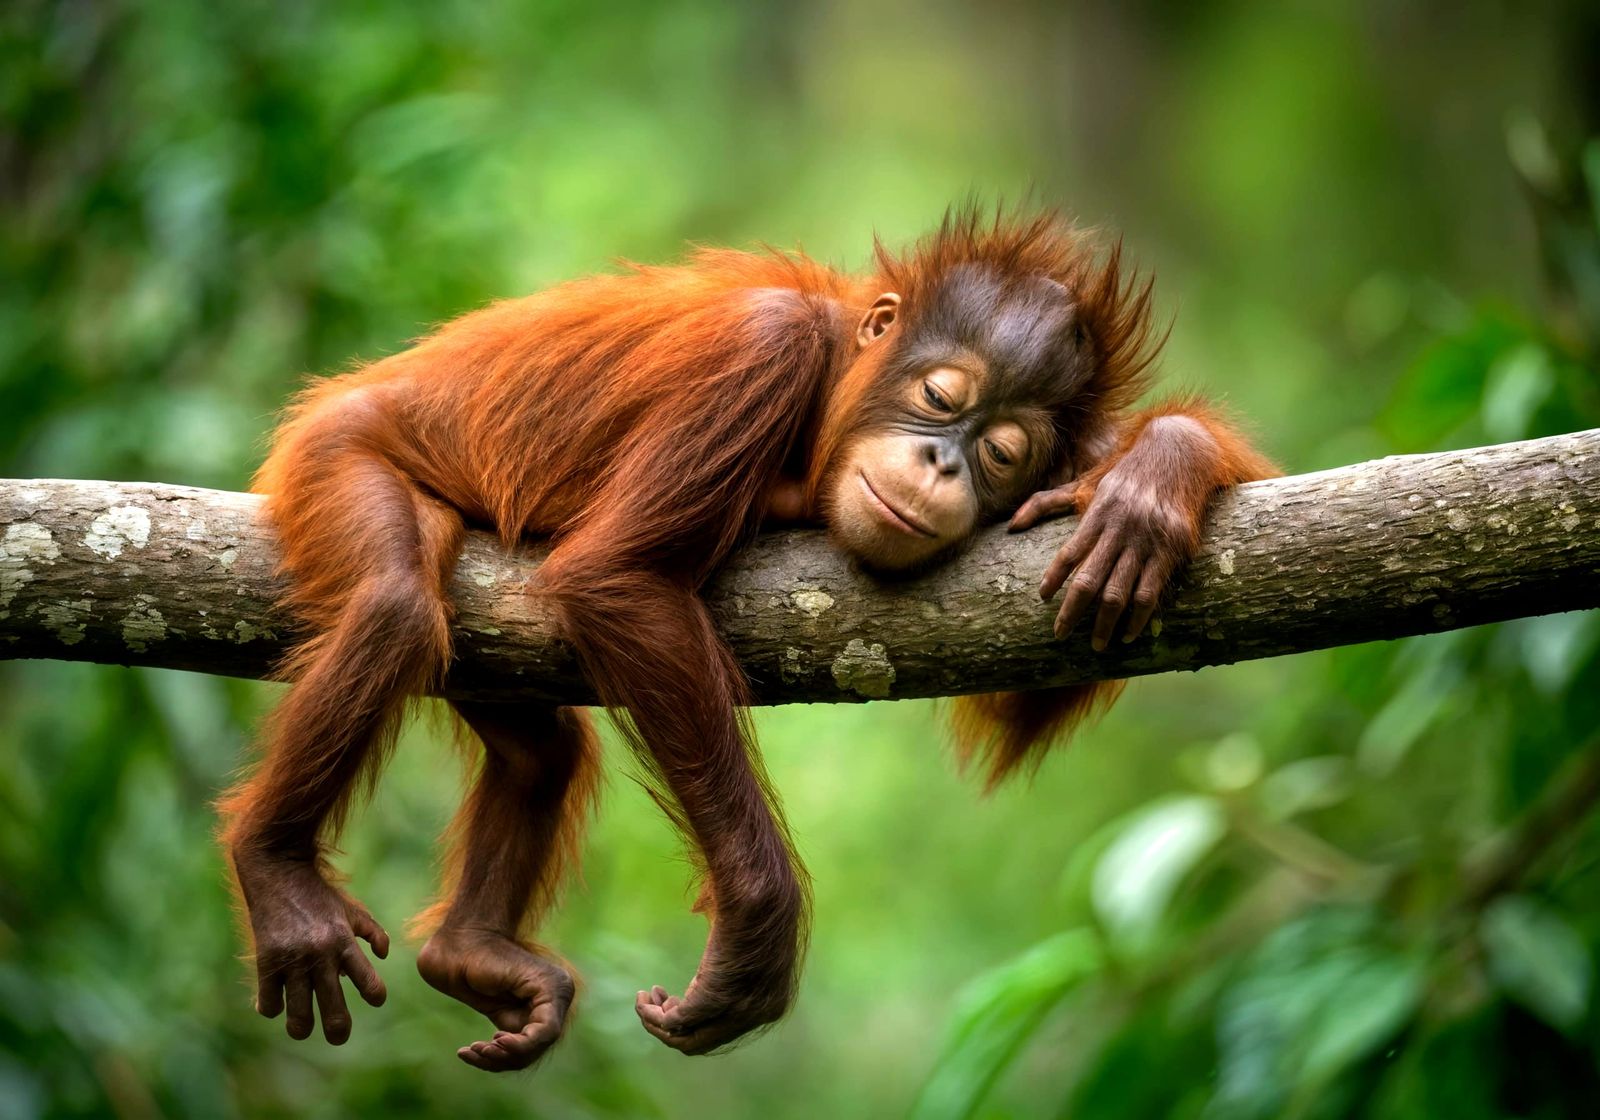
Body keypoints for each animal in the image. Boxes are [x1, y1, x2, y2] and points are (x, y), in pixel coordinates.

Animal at [218, 207, 1275, 1071]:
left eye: (1005, 454)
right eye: (941, 400)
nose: (943, 463)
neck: (830, 386)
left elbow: (1034, 685)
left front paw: (1157, 472)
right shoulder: (760, 353)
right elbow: (617, 577)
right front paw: (759, 928)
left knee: (541, 750)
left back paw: (469, 951)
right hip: (331, 456)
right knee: (394, 609)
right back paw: (278, 873)